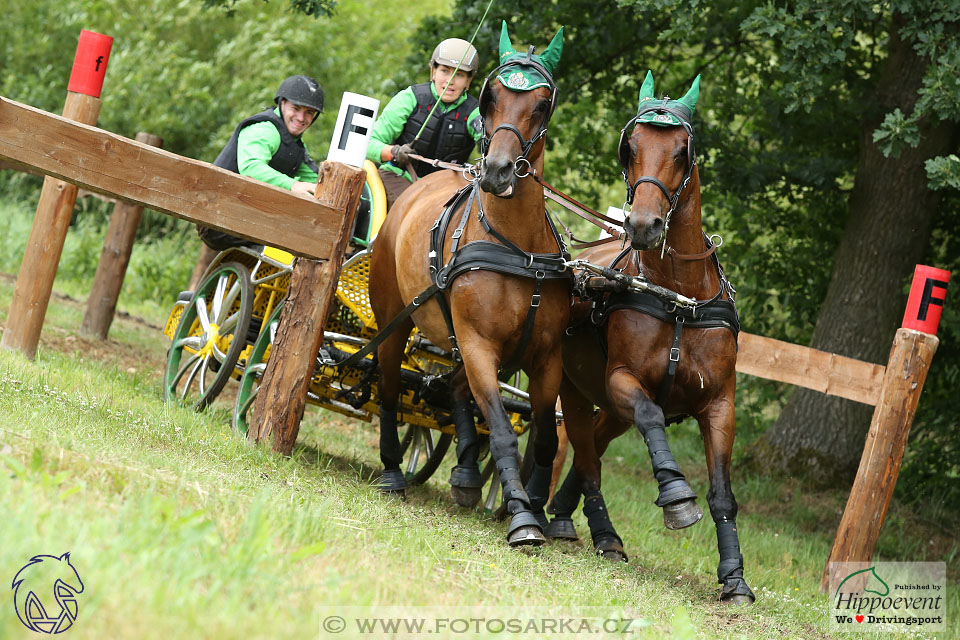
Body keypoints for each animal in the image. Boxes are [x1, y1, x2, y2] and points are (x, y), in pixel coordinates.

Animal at [548, 72, 756, 604]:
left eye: (682, 151)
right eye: (631, 148)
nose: (643, 225)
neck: (678, 296)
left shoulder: (720, 404)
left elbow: (723, 493)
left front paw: (734, 576)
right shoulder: (623, 381)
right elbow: (651, 416)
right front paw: (676, 496)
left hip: (606, 405)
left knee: (594, 445)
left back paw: (563, 513)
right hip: (574, 389)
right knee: (585, 452)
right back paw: (592, 528)